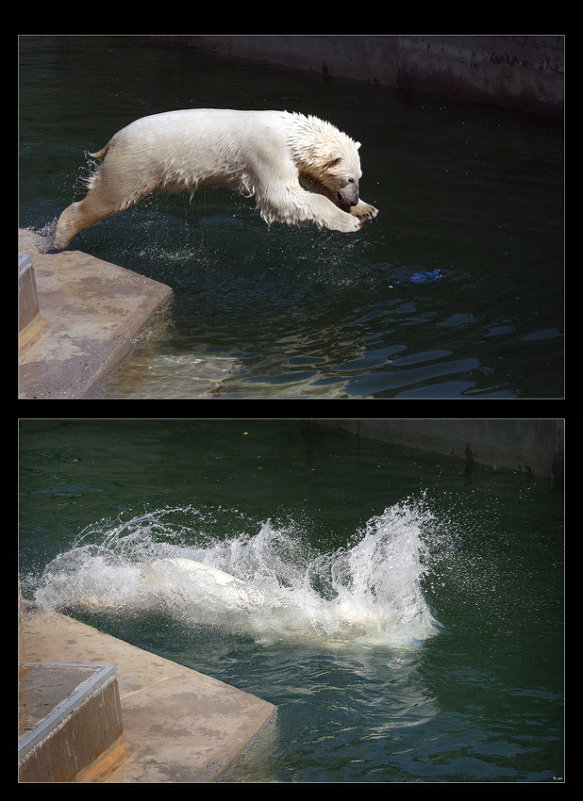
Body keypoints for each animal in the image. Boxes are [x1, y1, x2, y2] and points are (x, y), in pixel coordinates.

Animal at [53, 108, 378, 247]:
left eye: (358, 178)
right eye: (350, 179)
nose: (351, 200)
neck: (291, 132)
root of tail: (115, 138)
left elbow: (311, 183)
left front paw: (366, 210)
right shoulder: (268, 152)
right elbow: (281, 195)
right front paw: (349, 222)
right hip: (136, 162)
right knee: (111, 196)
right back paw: (62, 235)